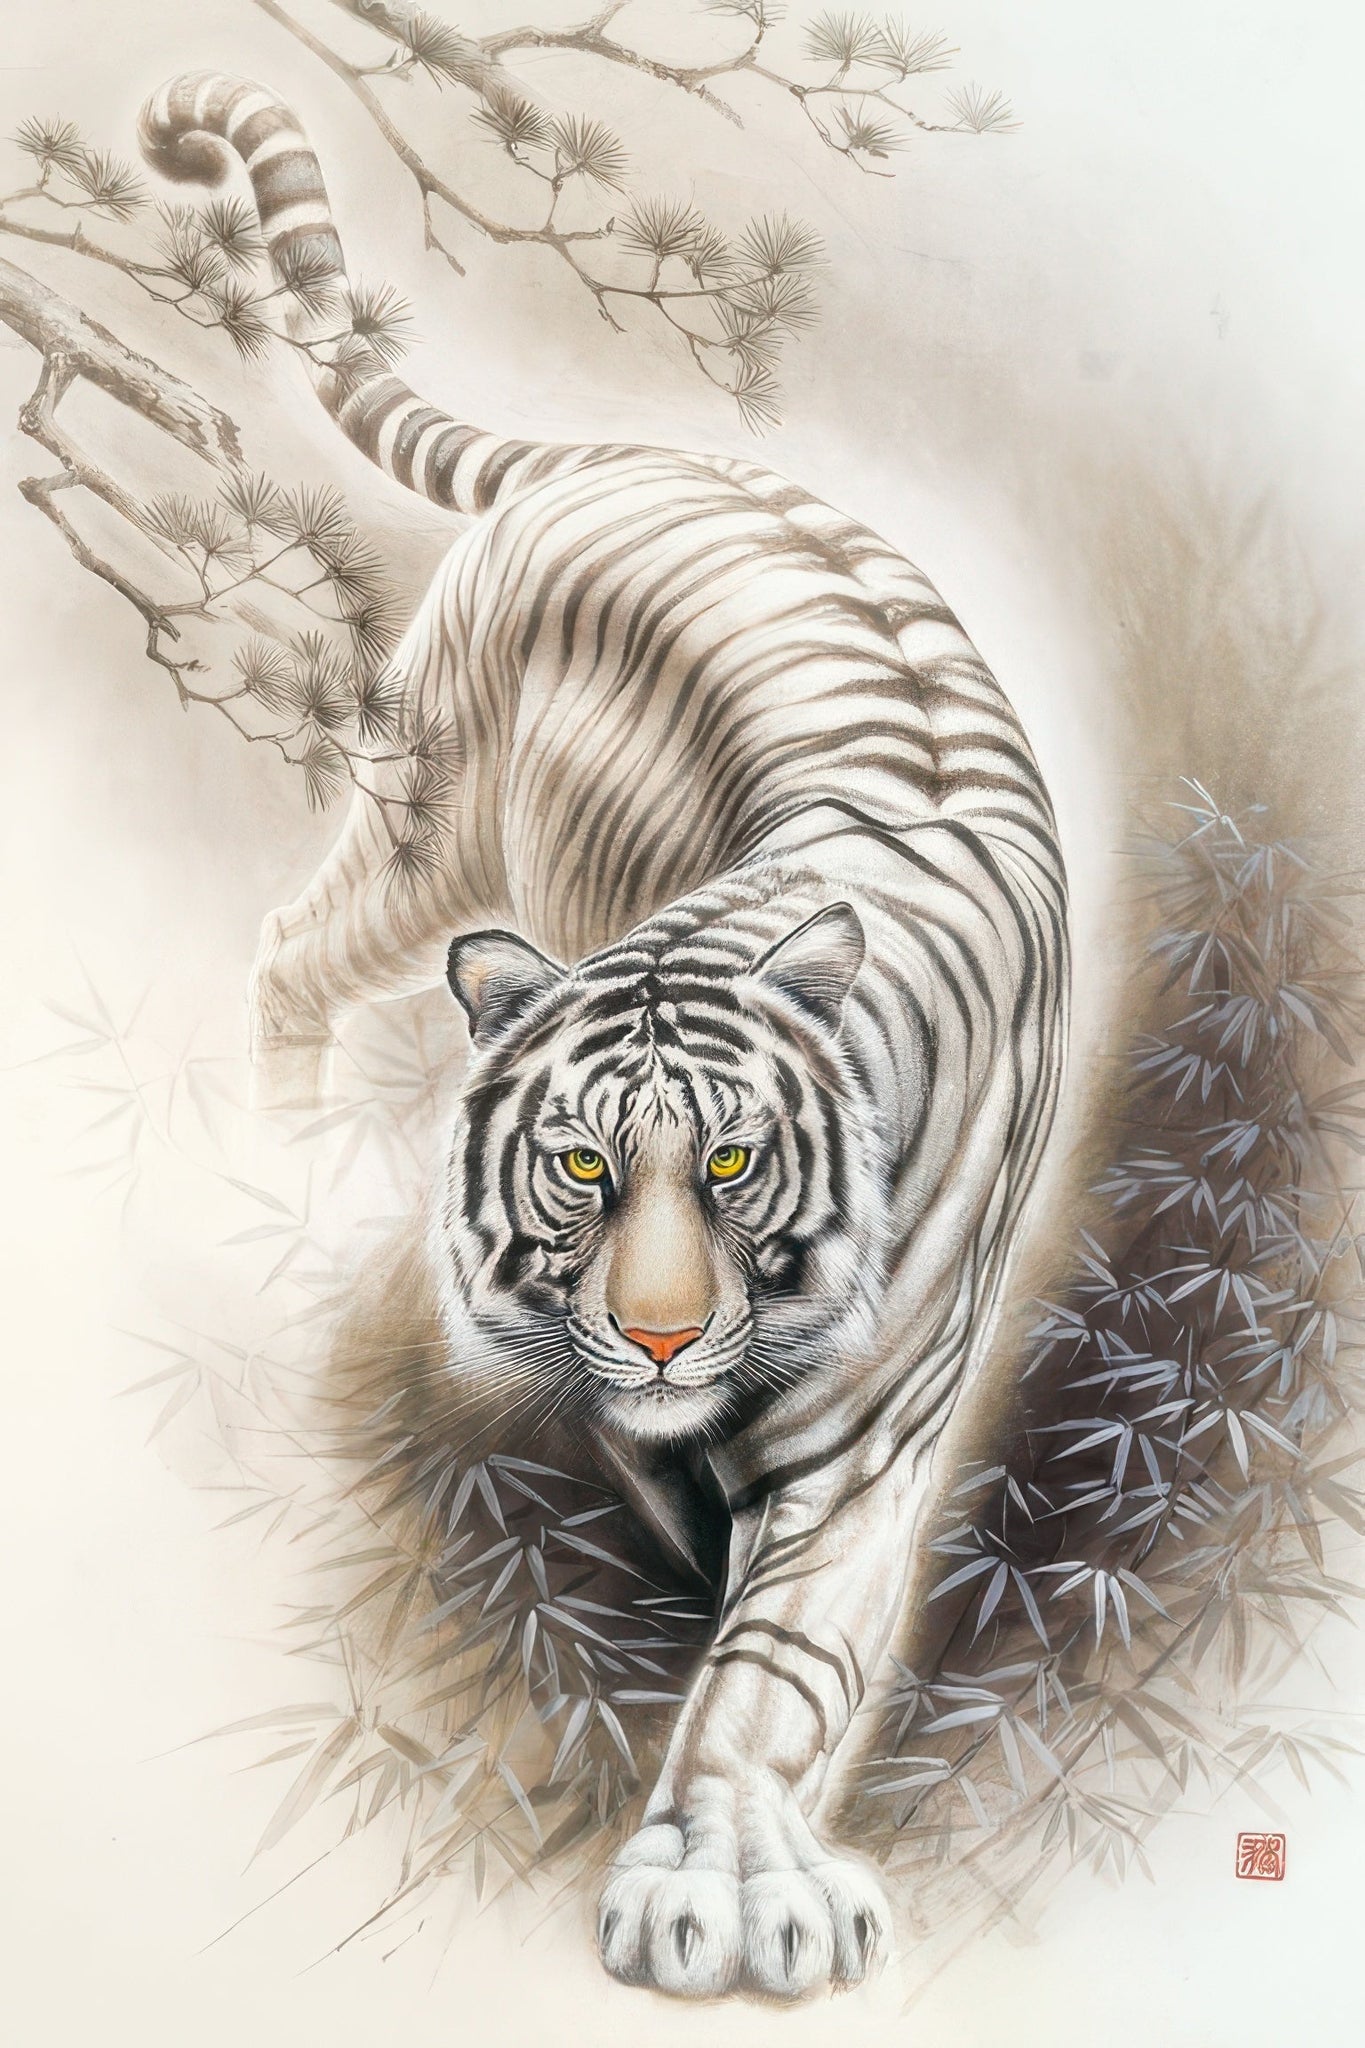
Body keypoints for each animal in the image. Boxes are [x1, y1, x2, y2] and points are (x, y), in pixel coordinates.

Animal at [140, 72, 1070, 1998]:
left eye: (734, 1158)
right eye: (578, 1164)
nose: (651, 1334)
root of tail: (633, 455)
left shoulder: (864, 1443)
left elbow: (771, 1673)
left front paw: (731, 1874)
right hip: (428, 834)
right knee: (285, 957)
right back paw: (260, 1172)